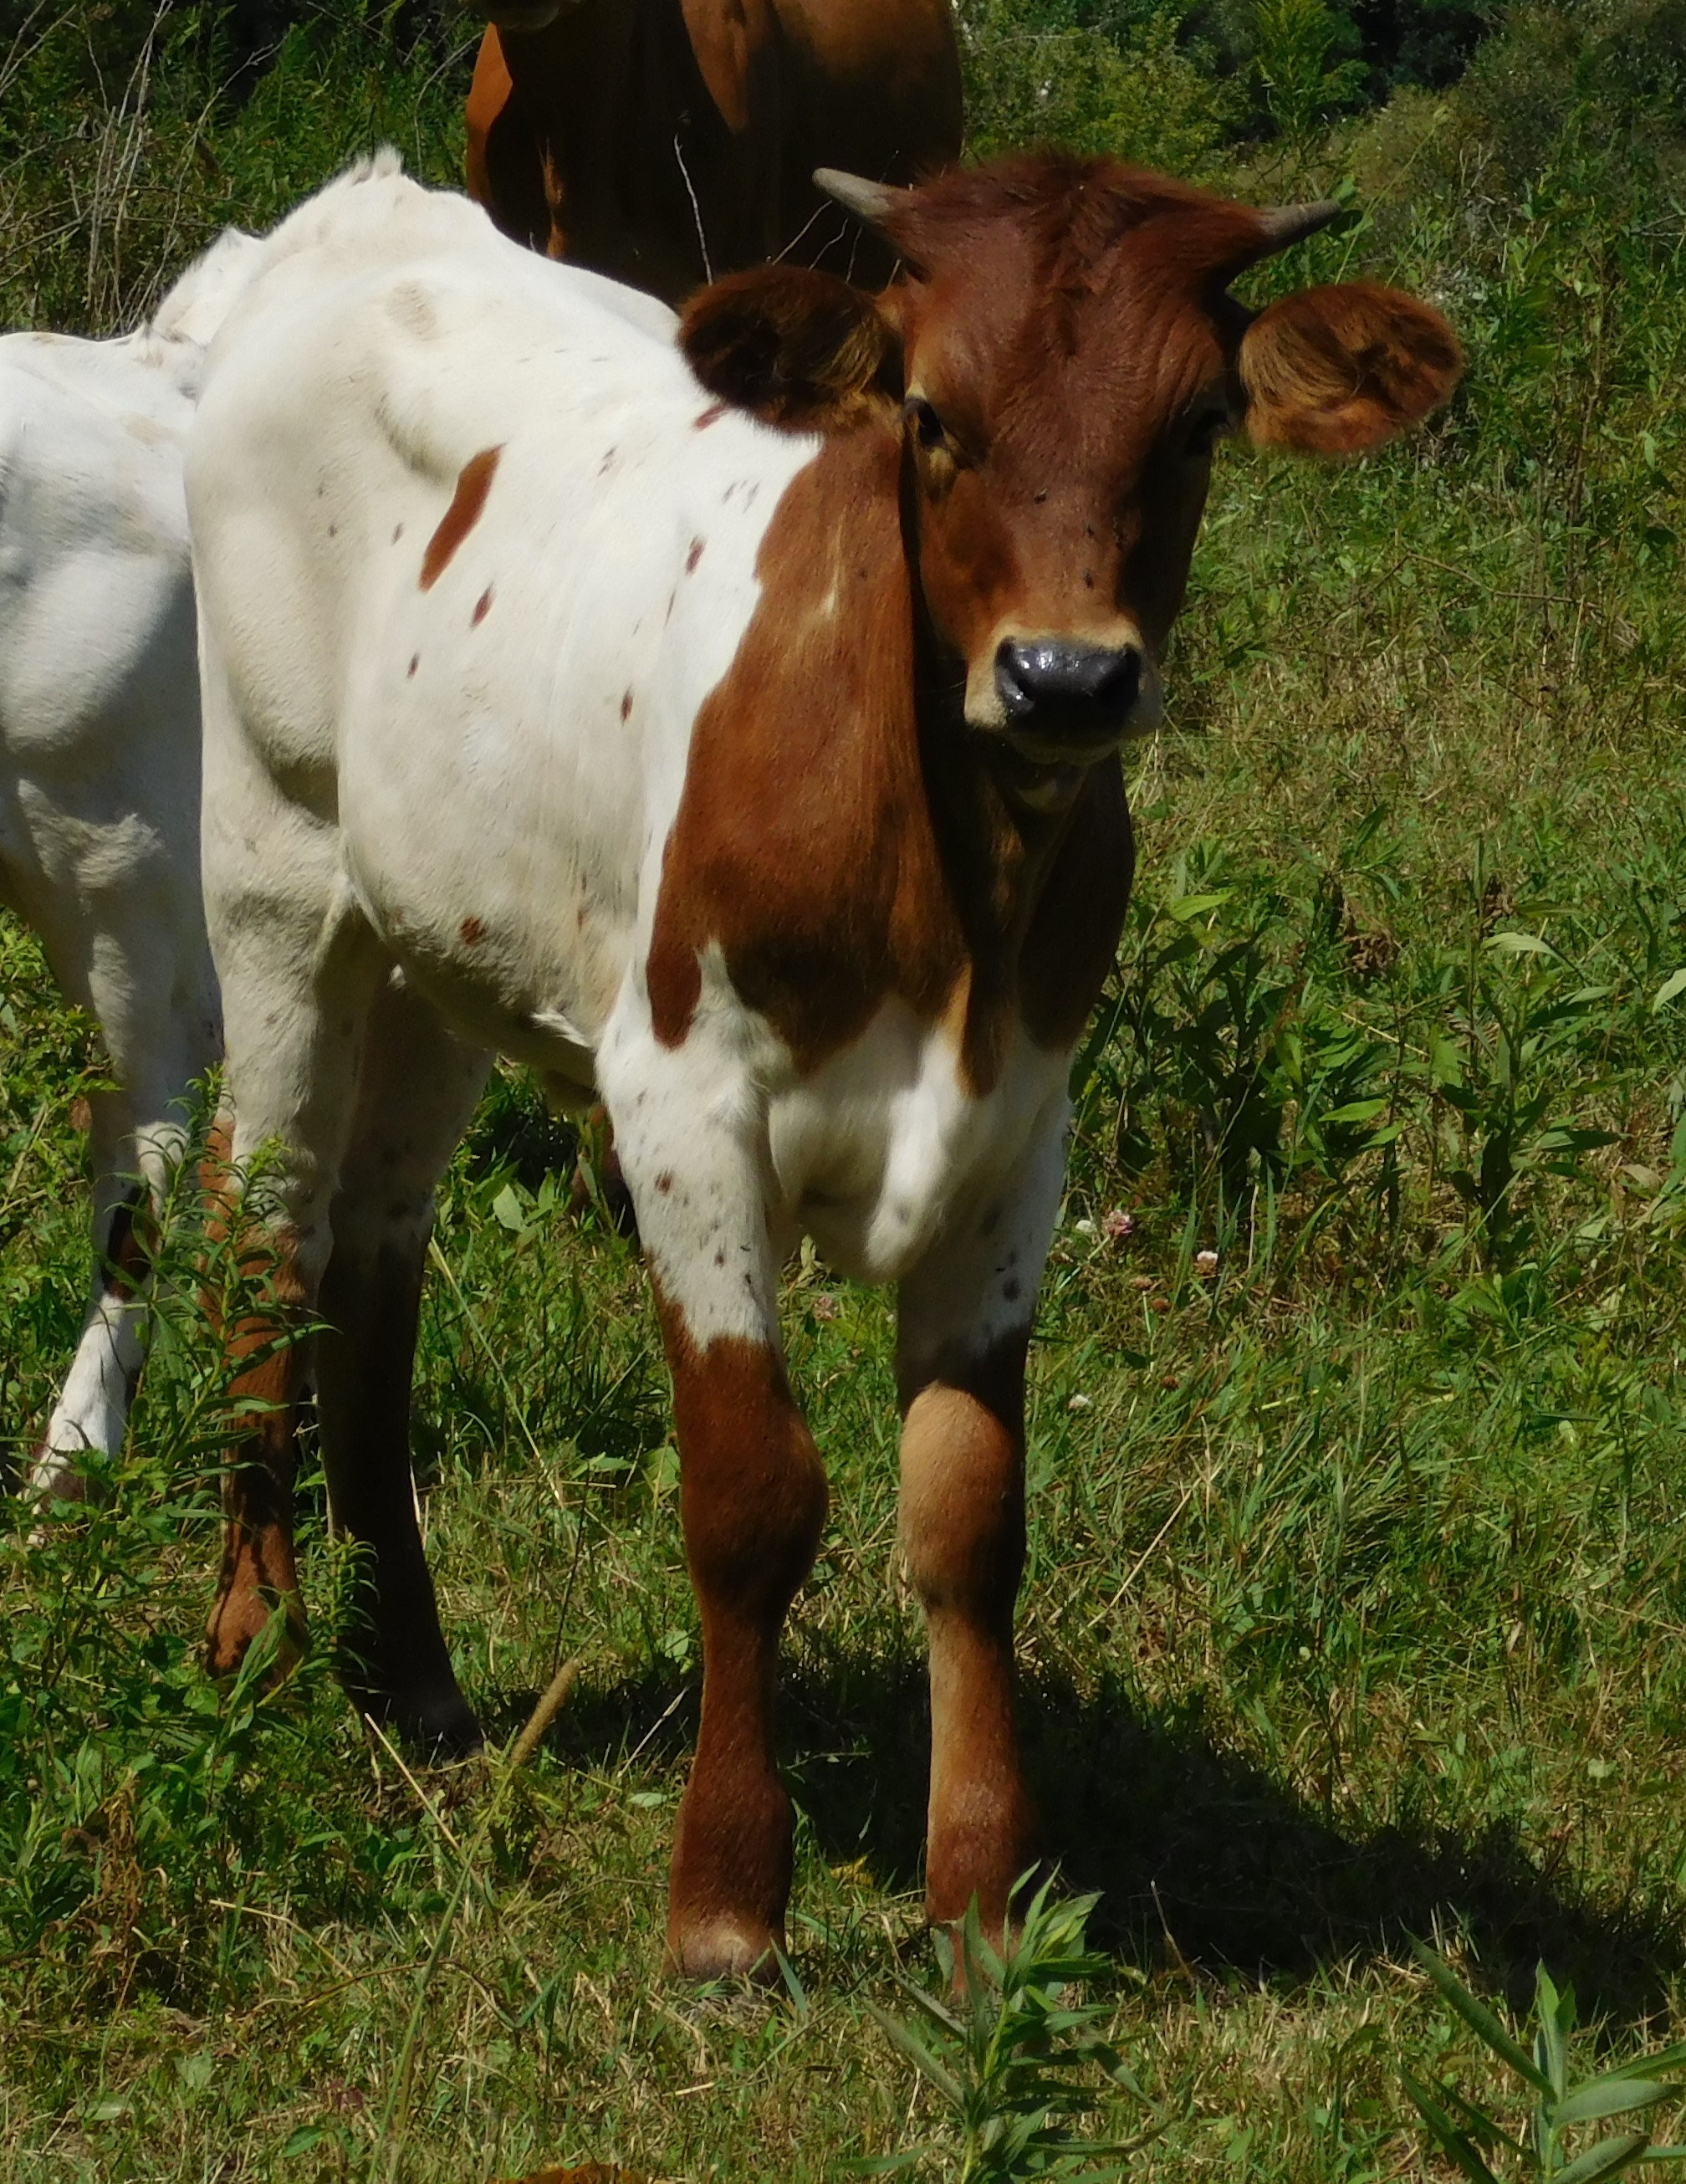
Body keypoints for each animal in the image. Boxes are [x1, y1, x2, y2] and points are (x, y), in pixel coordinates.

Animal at [184, 153, 1459, 1978]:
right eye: (930, 412)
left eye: (1198, 425)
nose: (1066, 674)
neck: (954, 877)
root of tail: (362, 214)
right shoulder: (684, 1101)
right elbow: (753, 1497)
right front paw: (727, 1901)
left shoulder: (1019, 1139)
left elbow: (970, 1514)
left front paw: (982, 1893)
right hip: (275, 868)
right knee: (265, 1224)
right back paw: (254, 1642)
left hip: (439, 938)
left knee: (375, 1251)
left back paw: (409, 1672)